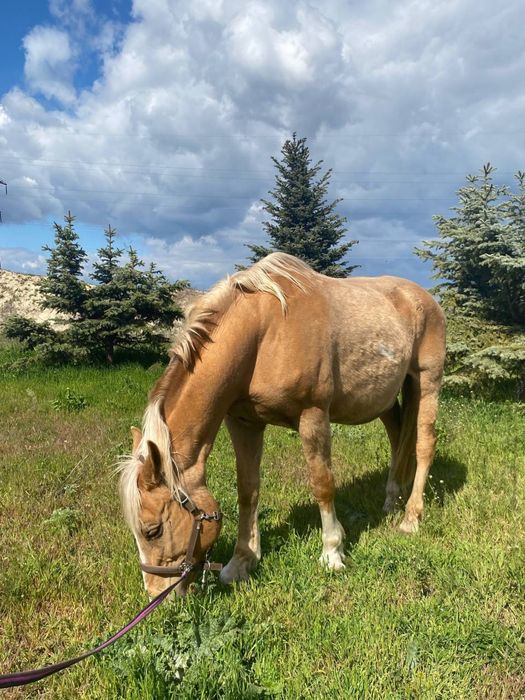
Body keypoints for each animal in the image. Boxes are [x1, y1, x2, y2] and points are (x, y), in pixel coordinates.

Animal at [119, 253, 446, 597]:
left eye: (153, 530)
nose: (158, 594)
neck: (263, 333)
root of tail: (424, 299)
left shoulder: (313, 415)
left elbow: (322, 484)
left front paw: (333, 553)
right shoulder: (243, 422)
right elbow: (247, 489)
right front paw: (241, 562)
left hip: (427, 382)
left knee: (424, 446)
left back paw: (411, 518)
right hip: (385, 399)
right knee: (398, 440)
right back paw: (391, 502)